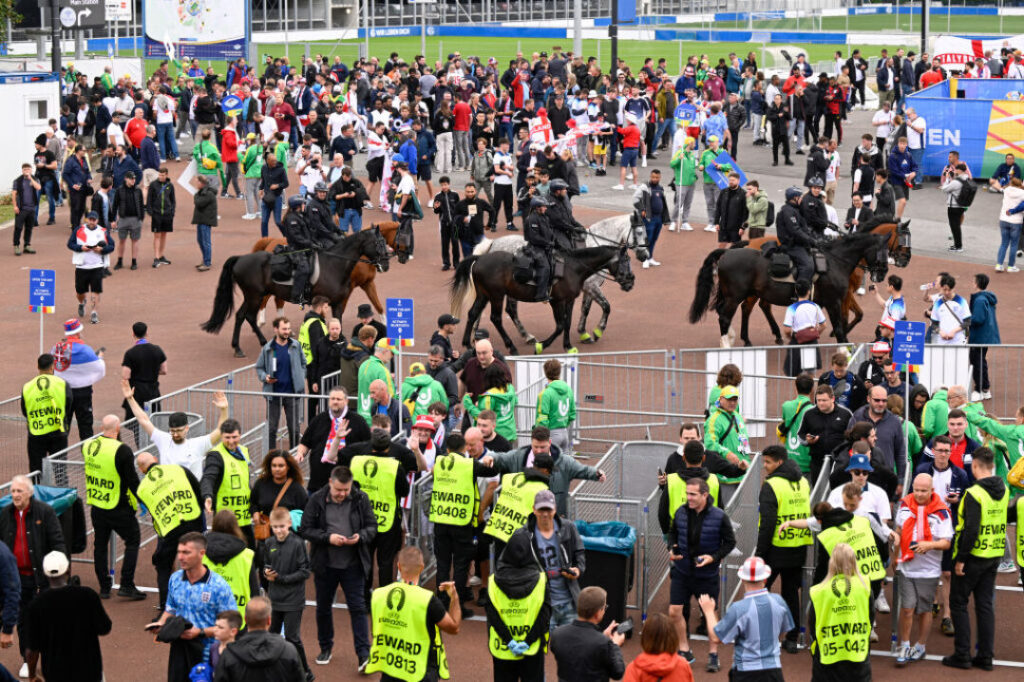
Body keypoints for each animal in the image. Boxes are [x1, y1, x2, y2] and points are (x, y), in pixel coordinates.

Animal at [201, 227, 389, 356]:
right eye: (378, 243)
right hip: (254, 296)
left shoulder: (337, 303)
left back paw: (238, 347)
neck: (334, 265)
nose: (386, 264)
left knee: (240, 315)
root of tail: (240, 258)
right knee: (249, 316)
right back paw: (258, 342)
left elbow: (338, 324)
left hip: (252, 296)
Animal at [249, 219, 405, 323]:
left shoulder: (367, 284)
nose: (385, 264)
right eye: (378, 243)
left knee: (277, 300)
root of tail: (272, 241)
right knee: (267, 299)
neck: (334, 264)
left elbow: (378, 306)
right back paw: (261, 321)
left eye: (384, 242)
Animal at [452, 244, 634, 352]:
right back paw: (511, 346)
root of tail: (480, 258)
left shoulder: (570, 299)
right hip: (496, 295)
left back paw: (468, 344)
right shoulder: (556, 301)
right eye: (625, 260)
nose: (631, 281)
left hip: (484, 294)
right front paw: (542, 345)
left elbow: (567, 323)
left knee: (472, 313)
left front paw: (568, 346)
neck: (573, 267)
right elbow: (560, 325)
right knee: (496, 318)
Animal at [737, 222, 913, 339]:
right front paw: (840, 335)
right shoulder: (842, 296)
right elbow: (848, 317)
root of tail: (750, 242)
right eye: (903, 240)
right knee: (748, 307)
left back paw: (776, 334)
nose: (906, 260)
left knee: (762, 306)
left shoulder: (843, 295)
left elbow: (858, 315)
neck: (839, 259)